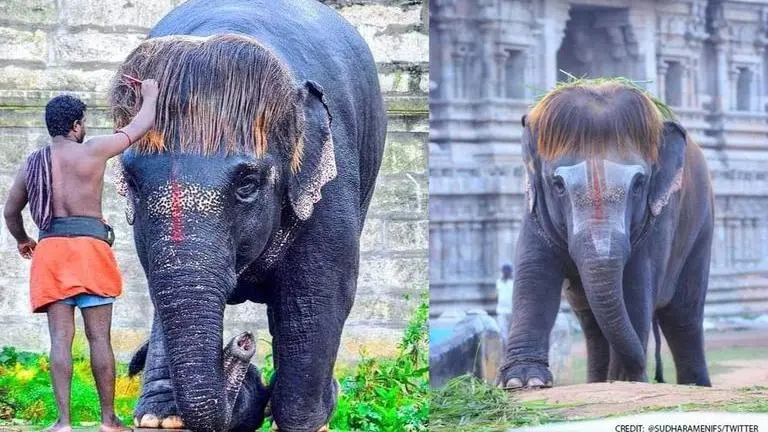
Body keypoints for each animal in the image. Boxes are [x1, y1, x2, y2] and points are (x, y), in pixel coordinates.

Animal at [108, 1, 386, 430]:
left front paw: (304, 421)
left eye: (248, 184)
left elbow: (318, 295)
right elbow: (160, 290)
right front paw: (160, 419)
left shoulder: (332, 181)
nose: (242, 342)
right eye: (133, 183)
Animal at [498, 81, 713, 389]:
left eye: (639, 185)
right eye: (558, 184)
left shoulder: (659, 218)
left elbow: (636, 283)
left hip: (702, 228)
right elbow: (534, 272)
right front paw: (523, 382)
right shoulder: (534, 208)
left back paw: (693, 385)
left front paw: (626, 380)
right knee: (591, 322)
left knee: (684, 316)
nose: (647, 373)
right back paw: (598, 380)